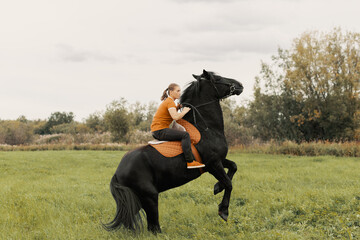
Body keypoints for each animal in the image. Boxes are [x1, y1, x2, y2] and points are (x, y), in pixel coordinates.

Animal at [102, 69, 243, 232]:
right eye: (218, 78)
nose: (239, 85)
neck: (206, 128)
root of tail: (117, 172)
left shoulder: (219, 161)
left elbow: (233, 167)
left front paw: (217, 187)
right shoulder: (213, 164)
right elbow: (229, 184)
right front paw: (223, 210)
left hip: (138, 199)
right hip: (150, 196)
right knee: (153, 226)